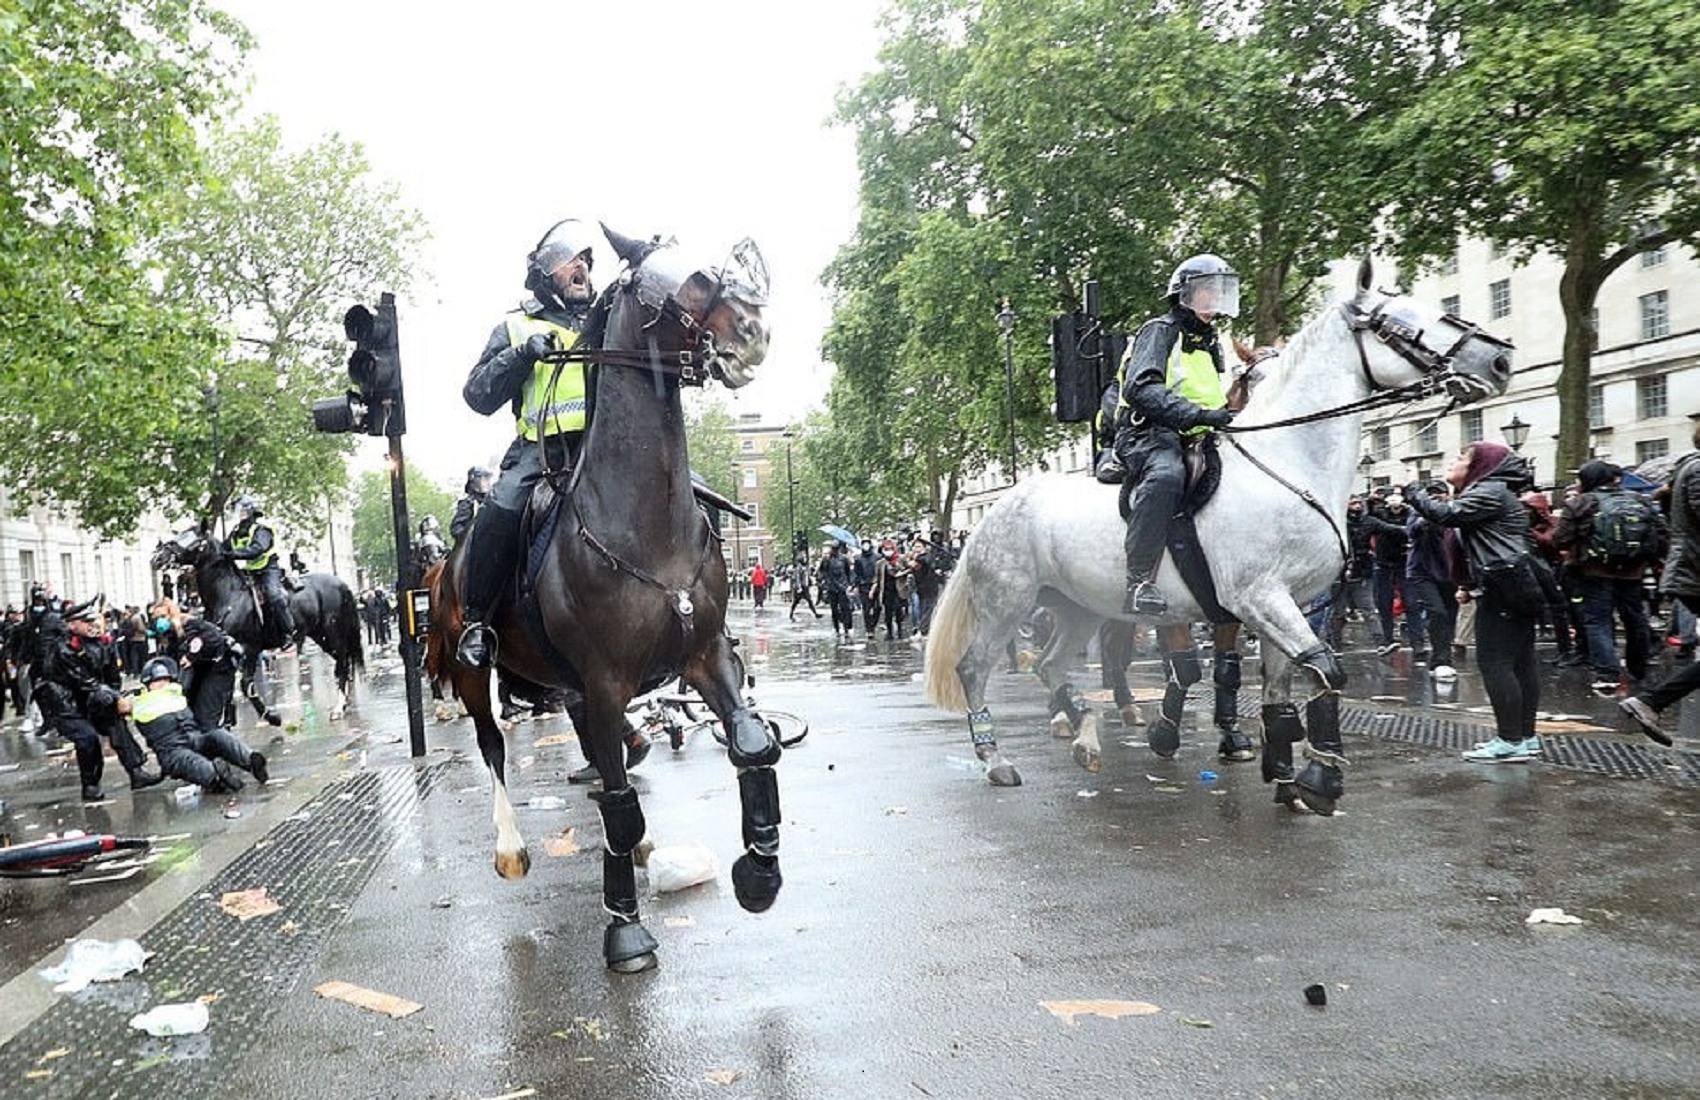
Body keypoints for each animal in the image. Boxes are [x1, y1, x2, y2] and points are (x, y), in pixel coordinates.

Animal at [425, 224, 778, 972]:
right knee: (493, 745)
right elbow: (616, 796)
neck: (644, 525)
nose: (754, 331)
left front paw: (759, 873)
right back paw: (513, 849)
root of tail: (446, 564)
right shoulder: (609, 678)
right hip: (475, 675)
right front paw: (625, 930)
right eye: (683, 281)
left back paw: (641, 850)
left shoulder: (705, 653)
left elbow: (753, 745)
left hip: (572, 683)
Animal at [924, 256, 1509, 809]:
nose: (1499, 358)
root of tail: (995, 510)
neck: (1288, 464)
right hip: (1008, 602)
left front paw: (1285, 775)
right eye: (1398, 321)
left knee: (1049, 664)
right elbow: (1322, 670)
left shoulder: (1286, 603)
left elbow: (1282, 687)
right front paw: (1321, 779)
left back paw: (1085, 733)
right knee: (973, 667)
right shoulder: (1257, 597)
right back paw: (998, 758)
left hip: (1077, 606)